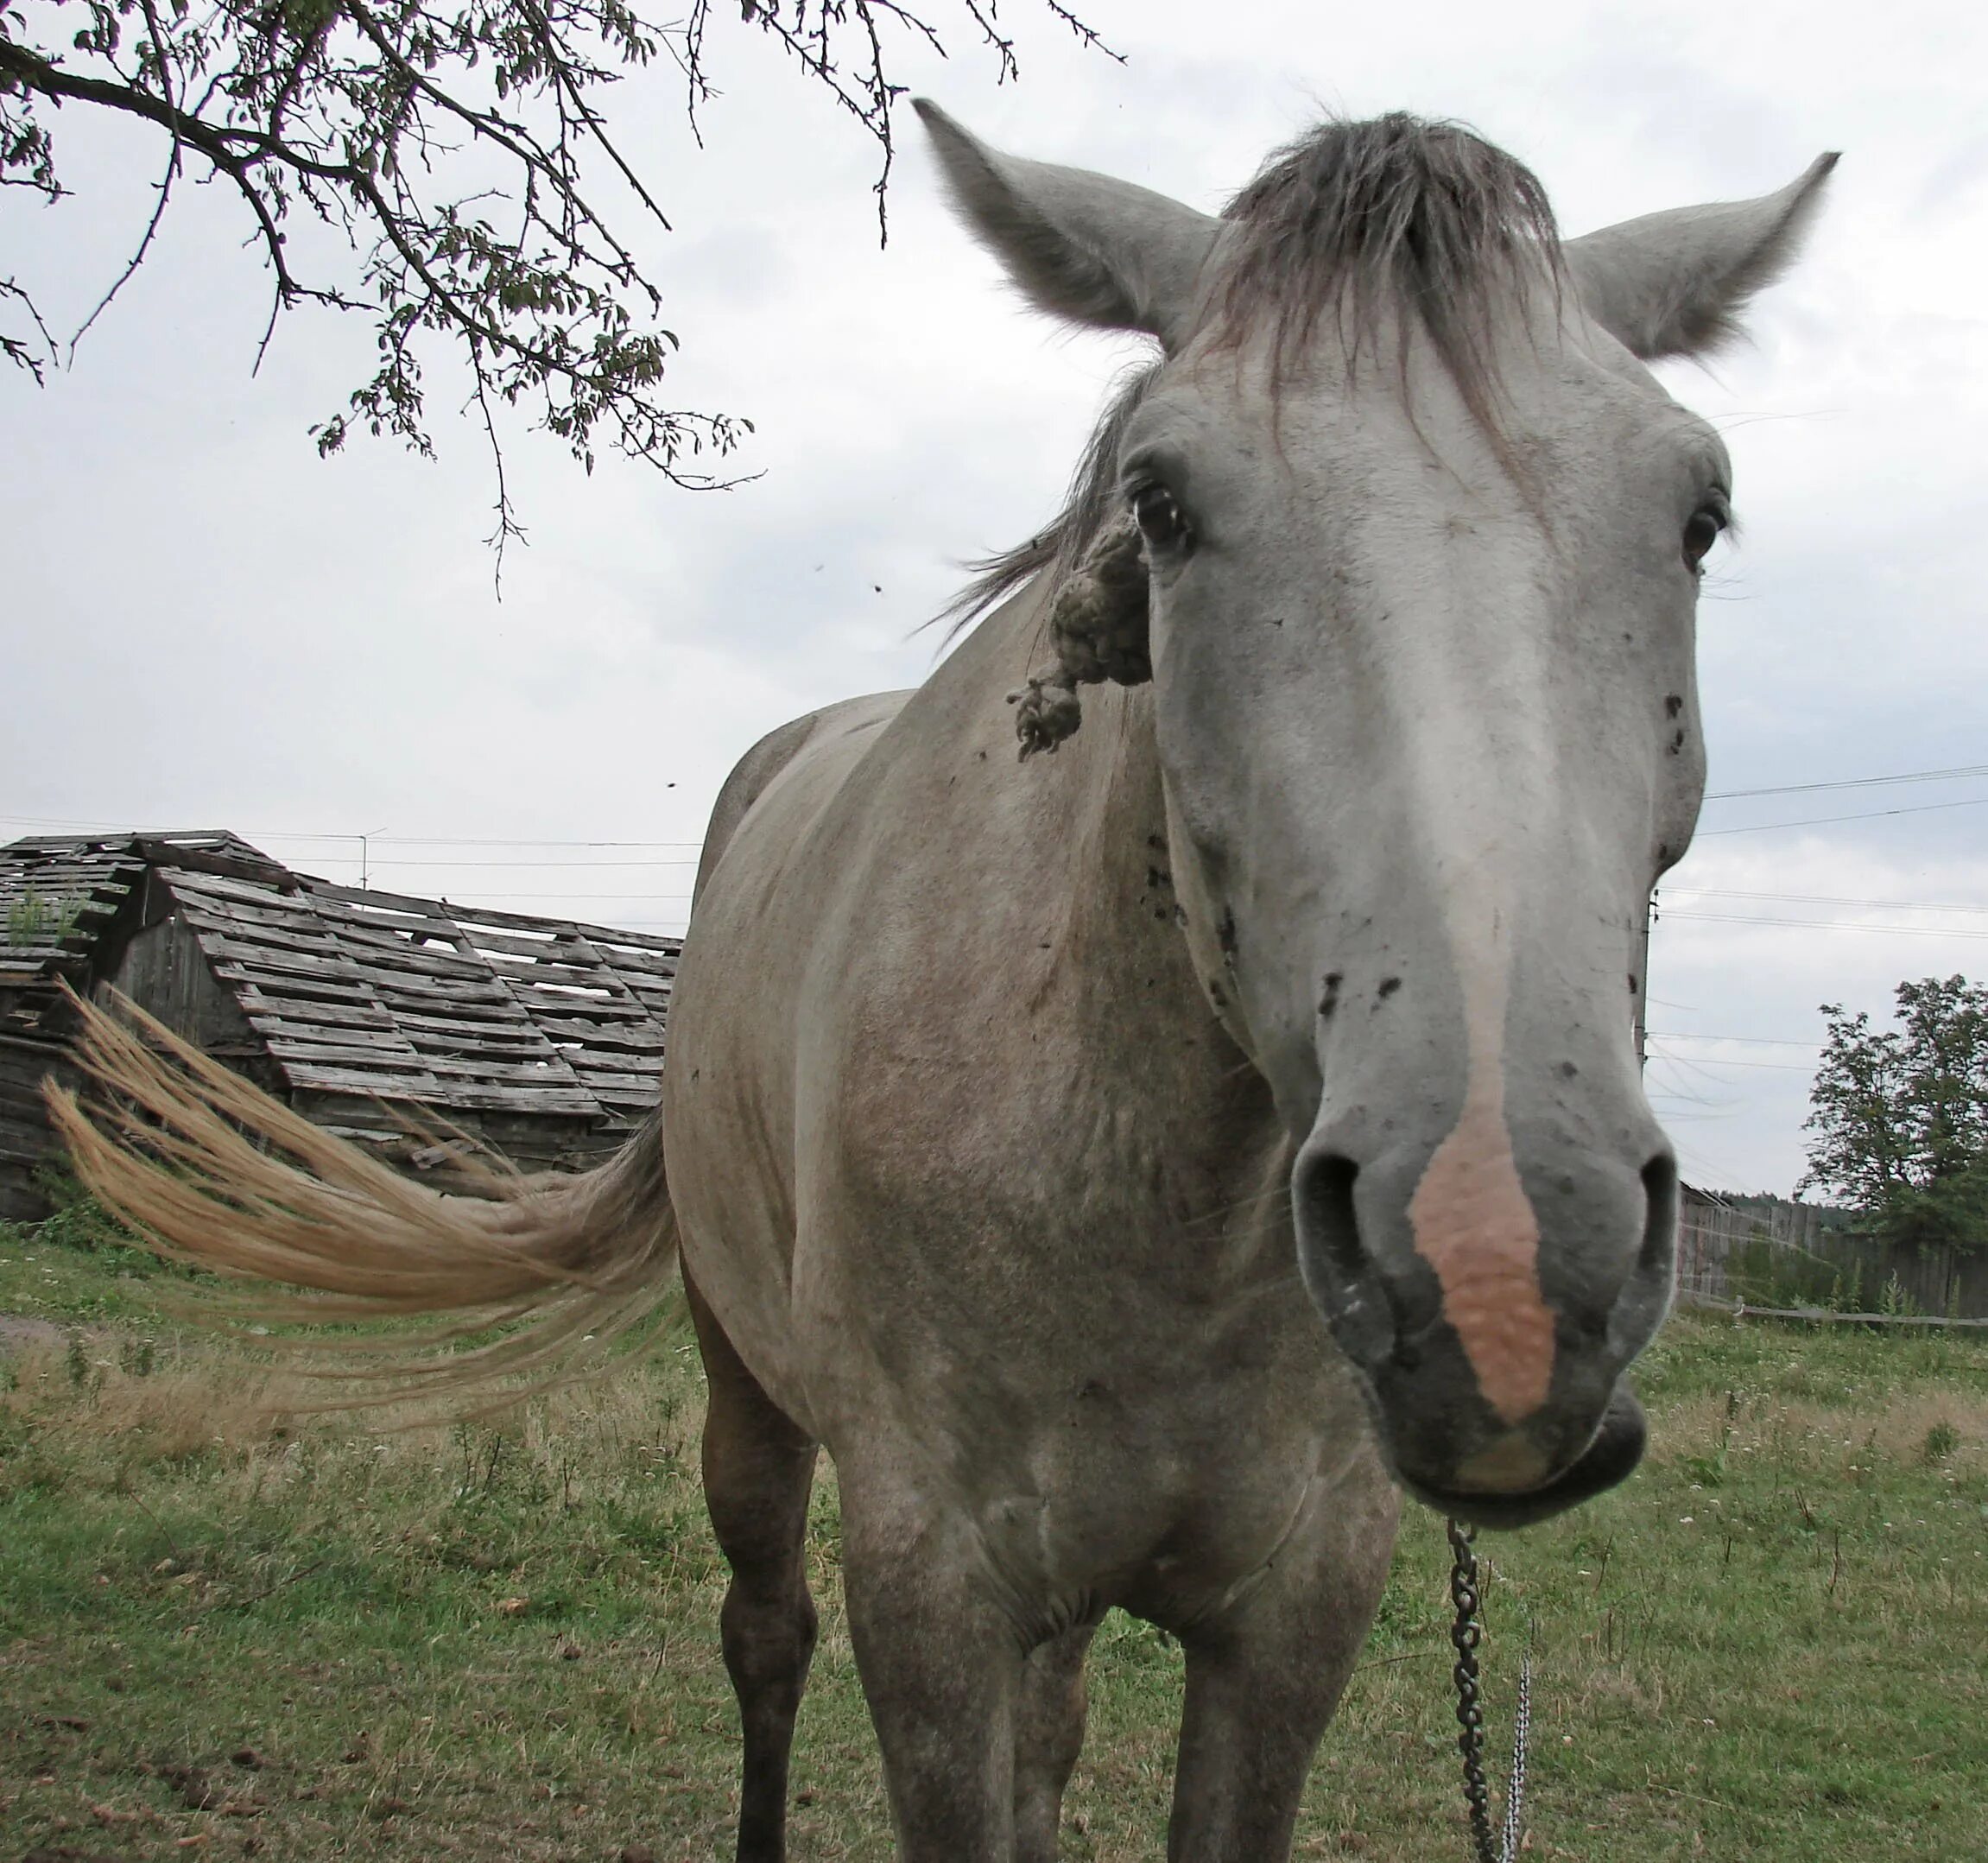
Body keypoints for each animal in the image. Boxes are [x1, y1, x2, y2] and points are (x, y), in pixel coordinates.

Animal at [61, 98, 1828, 1860]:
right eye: (1161, 504)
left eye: (1697, 516)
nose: (1498, 1259)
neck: (1144, 1183)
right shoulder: (932, 1589)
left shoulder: (1294, 1607)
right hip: (748, 1401)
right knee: (763, 1637)